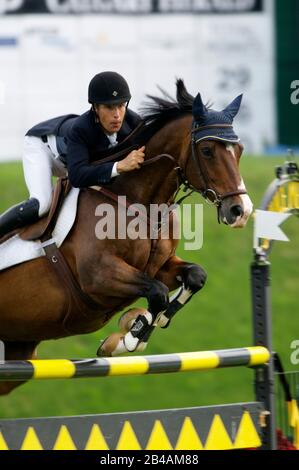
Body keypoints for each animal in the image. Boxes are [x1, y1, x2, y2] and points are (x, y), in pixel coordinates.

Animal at [0, 80, 253, 392]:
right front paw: (129, 337)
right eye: (206, 150)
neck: (139, 202)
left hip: (17, 348)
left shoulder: (160, 266)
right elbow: (156, 292)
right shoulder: (98, 276)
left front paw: (147, 323)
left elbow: (194, 277)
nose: (241, 211)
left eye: (239, 149)